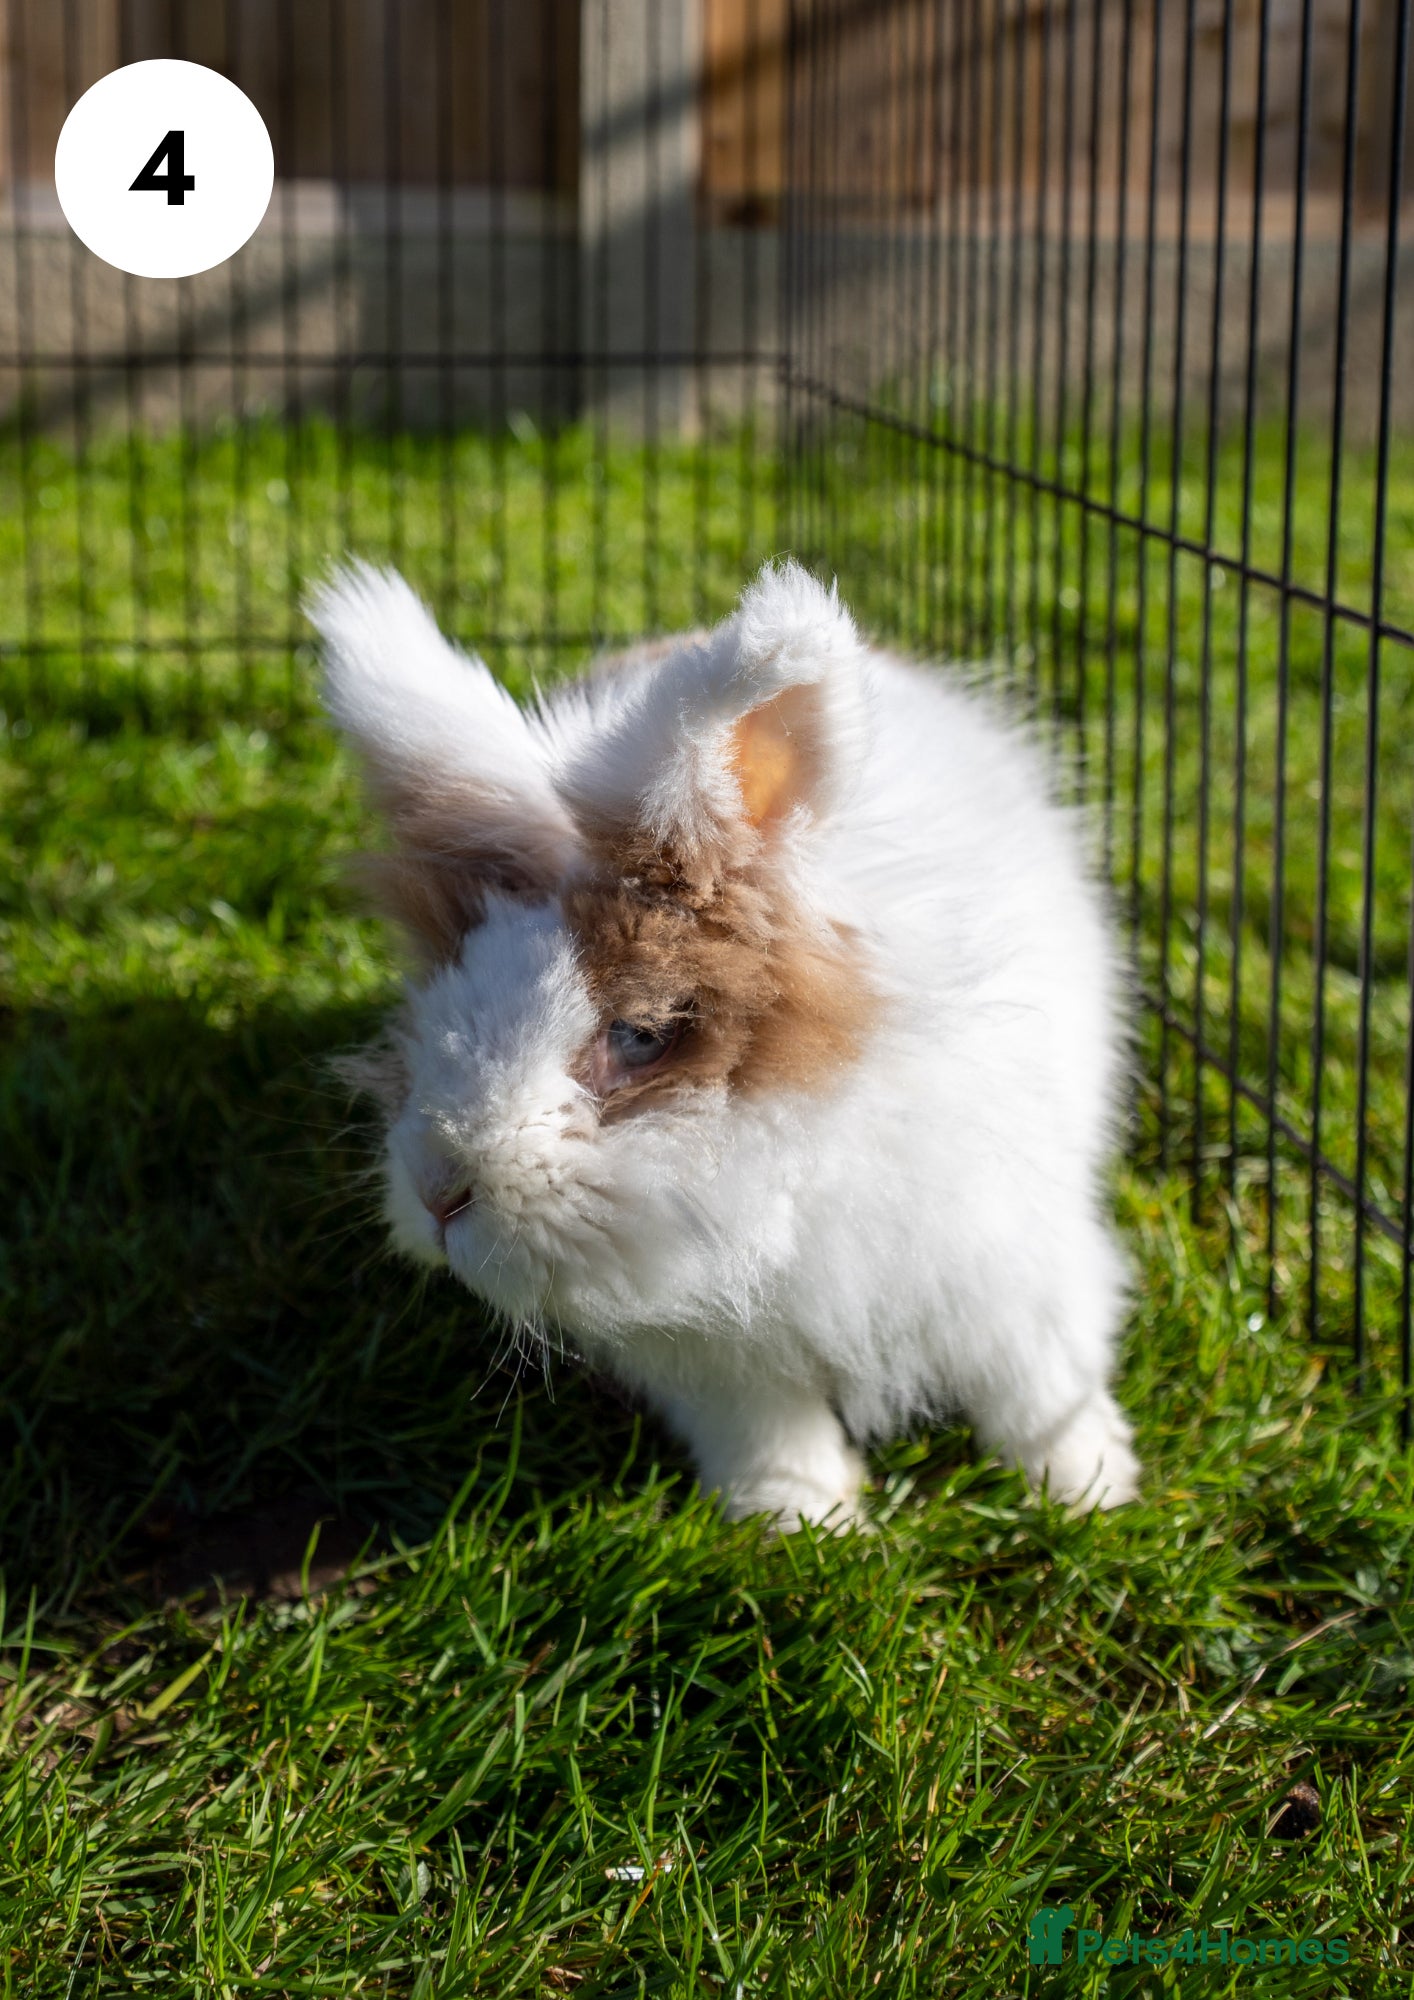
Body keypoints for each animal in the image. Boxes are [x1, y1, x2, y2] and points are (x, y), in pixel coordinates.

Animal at [311, 557, 1139, 1529]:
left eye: (642, 1034)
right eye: (436, 993)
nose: (439, 1195)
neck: (785, 1162)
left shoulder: (1010, 1267)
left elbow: (1039, 1383)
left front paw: (1088, 1491)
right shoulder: (720, 1358)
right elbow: (771, 1430)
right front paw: (800, 1522)